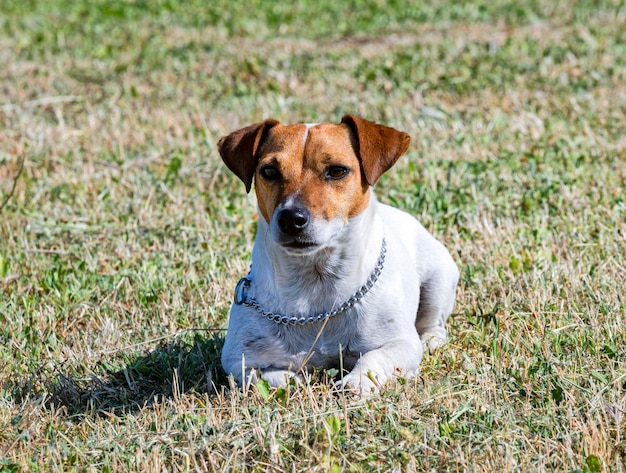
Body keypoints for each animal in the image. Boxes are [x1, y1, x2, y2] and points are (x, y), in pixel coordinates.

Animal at [217, 115, 456, 394]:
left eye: (337, 170)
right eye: (269, 171)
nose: (291, 218)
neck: (315, 283)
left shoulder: (400, 343)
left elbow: (375, 357)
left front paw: (357, 382)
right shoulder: (237, 357)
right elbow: (260, 376)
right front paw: (289, 380)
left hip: (439, 281)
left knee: (433, 322)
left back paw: (431, 340)